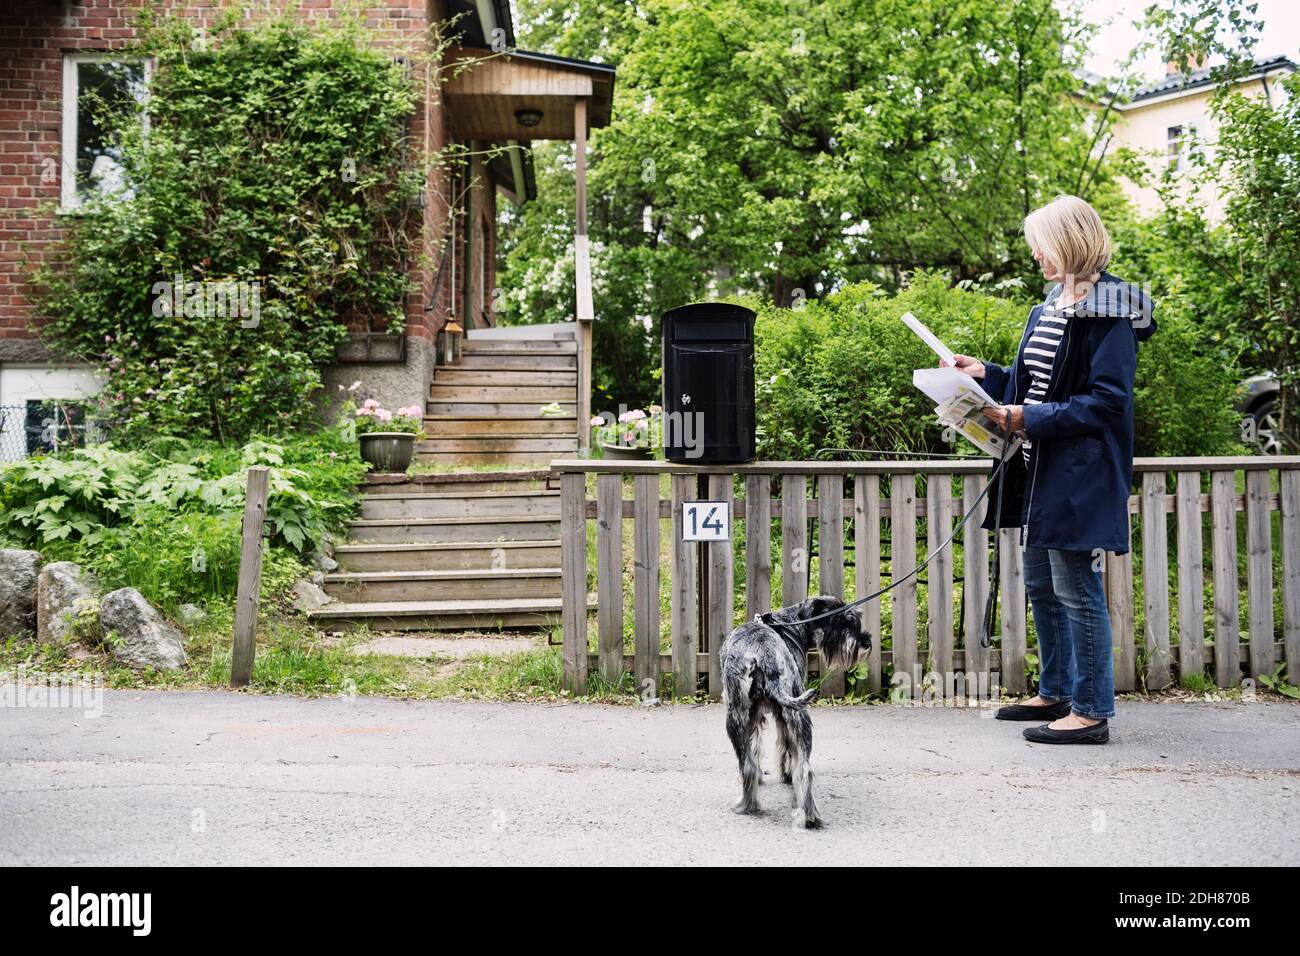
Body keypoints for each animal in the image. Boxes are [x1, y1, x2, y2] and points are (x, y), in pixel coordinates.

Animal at [722, 598, 873, 832]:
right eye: (841, 622)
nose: (866, 642)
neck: (790, 625)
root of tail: (763, 653)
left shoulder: (763, 716)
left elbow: (765, 747)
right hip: (794, 713)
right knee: (803, 768)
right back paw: (807, 816)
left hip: (742, 716)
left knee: (749, 764)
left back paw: (750, 805)